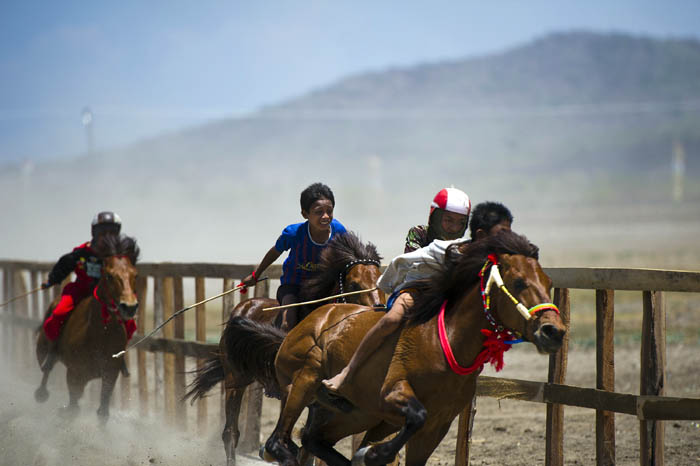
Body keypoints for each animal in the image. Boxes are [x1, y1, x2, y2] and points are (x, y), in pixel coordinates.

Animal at [34, 235, 141, 420]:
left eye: (134, 274)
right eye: (110, 275)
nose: (129, 306)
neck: (99, 336)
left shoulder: (109, 375)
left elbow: (102, 411)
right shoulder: (75, 374)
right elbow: (73, 407)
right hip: (42, 348)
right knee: (46, 367)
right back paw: (41, 393)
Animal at [185, 232, 382, 466]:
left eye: (379, 279)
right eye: (353, 284)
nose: (378, 309)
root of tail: (244, 306)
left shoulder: (320, 406)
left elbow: (308, 448)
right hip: (235, 380)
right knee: (230, 432)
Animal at [224, 230, 568, 466]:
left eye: (547, 282)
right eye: (520, 282)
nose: (553, 331)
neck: (446, 343)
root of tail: (310, 321)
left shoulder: (437, 426)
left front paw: (369, 453)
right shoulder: (393, 394)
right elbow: (414, 415)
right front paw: (371, 453)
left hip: (356, 413)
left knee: (311, 439)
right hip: (303, 381)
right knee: (276, 443)